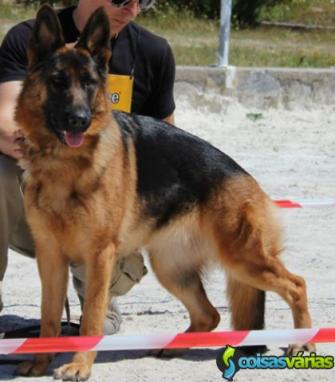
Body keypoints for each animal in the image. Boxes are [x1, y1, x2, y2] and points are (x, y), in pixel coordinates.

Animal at [15, 4, 316, 380]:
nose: (79, 120)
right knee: (209, 314)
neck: (64, 164)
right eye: (57, 82)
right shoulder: (50, 258)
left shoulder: (98, 256)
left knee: (297, 284)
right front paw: (41, 360)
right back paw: (174, 346)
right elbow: (49, 318)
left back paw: (304, 343)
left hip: (243, 260)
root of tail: (246, 178)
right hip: (172, 269)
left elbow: (91, 318)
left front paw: (80, 364)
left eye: (89, 84)